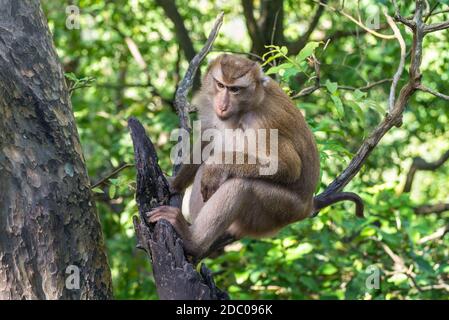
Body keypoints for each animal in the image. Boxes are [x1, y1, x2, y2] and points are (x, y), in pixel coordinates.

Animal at [149, 53, 362, 258]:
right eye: (220, 85)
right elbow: (207, 140)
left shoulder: (263, 123)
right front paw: (175, 183)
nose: (223, 105)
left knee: (241, 185)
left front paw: (216, 167)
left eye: (235, 89)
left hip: (281, 211)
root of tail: (308, 205)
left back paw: (194, 242)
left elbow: (287, 167)